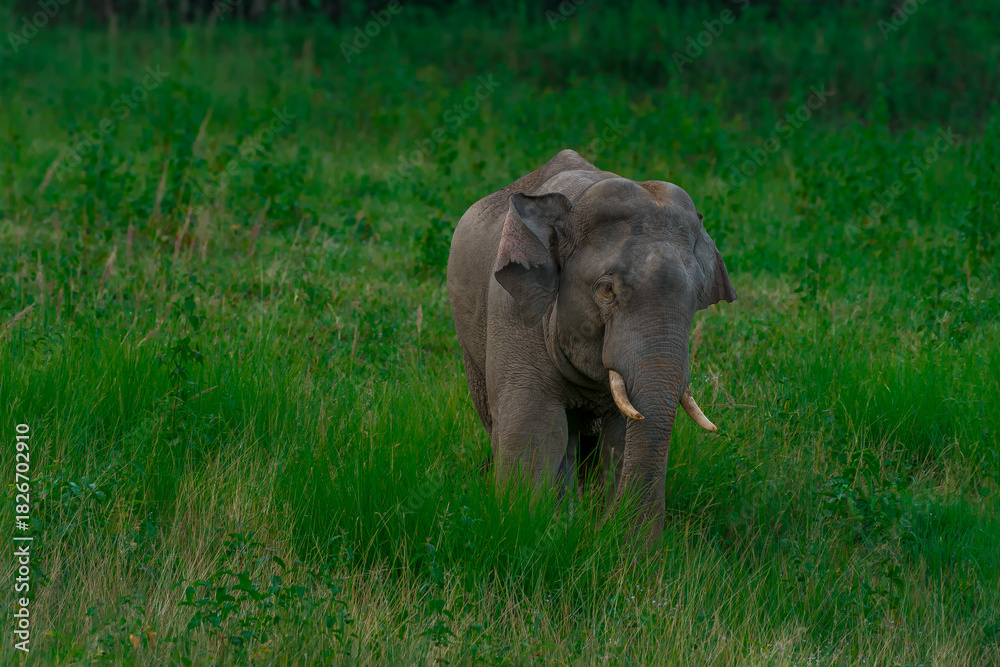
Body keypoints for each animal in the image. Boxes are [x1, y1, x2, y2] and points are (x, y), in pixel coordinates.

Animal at [446, 149, 736, 541]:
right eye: (607, 290)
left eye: (696, 297)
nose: (631, 545)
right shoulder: (515, 313)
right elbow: (535, 427)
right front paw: (527, 527)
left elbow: (620, 436)